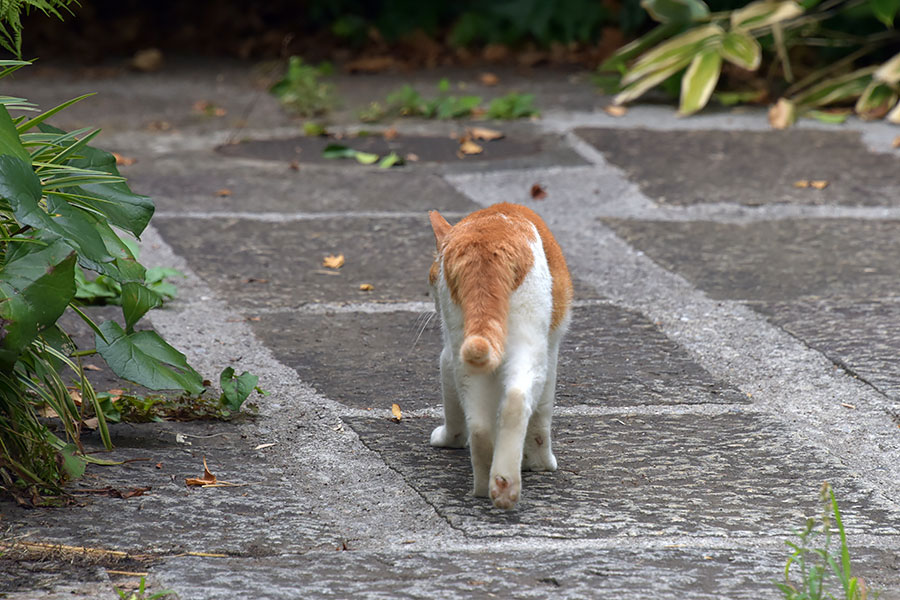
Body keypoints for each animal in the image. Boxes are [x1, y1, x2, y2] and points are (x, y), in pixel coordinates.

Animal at [428, 204, 568, 508]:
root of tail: (487, 241)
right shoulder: (551, 351)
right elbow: (541, 420)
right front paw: (540, 464)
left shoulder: (449, 355)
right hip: (530, 345)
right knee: (516, 400)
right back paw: (506, 485)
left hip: (465, 350)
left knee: (480, 425)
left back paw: (488, 484)